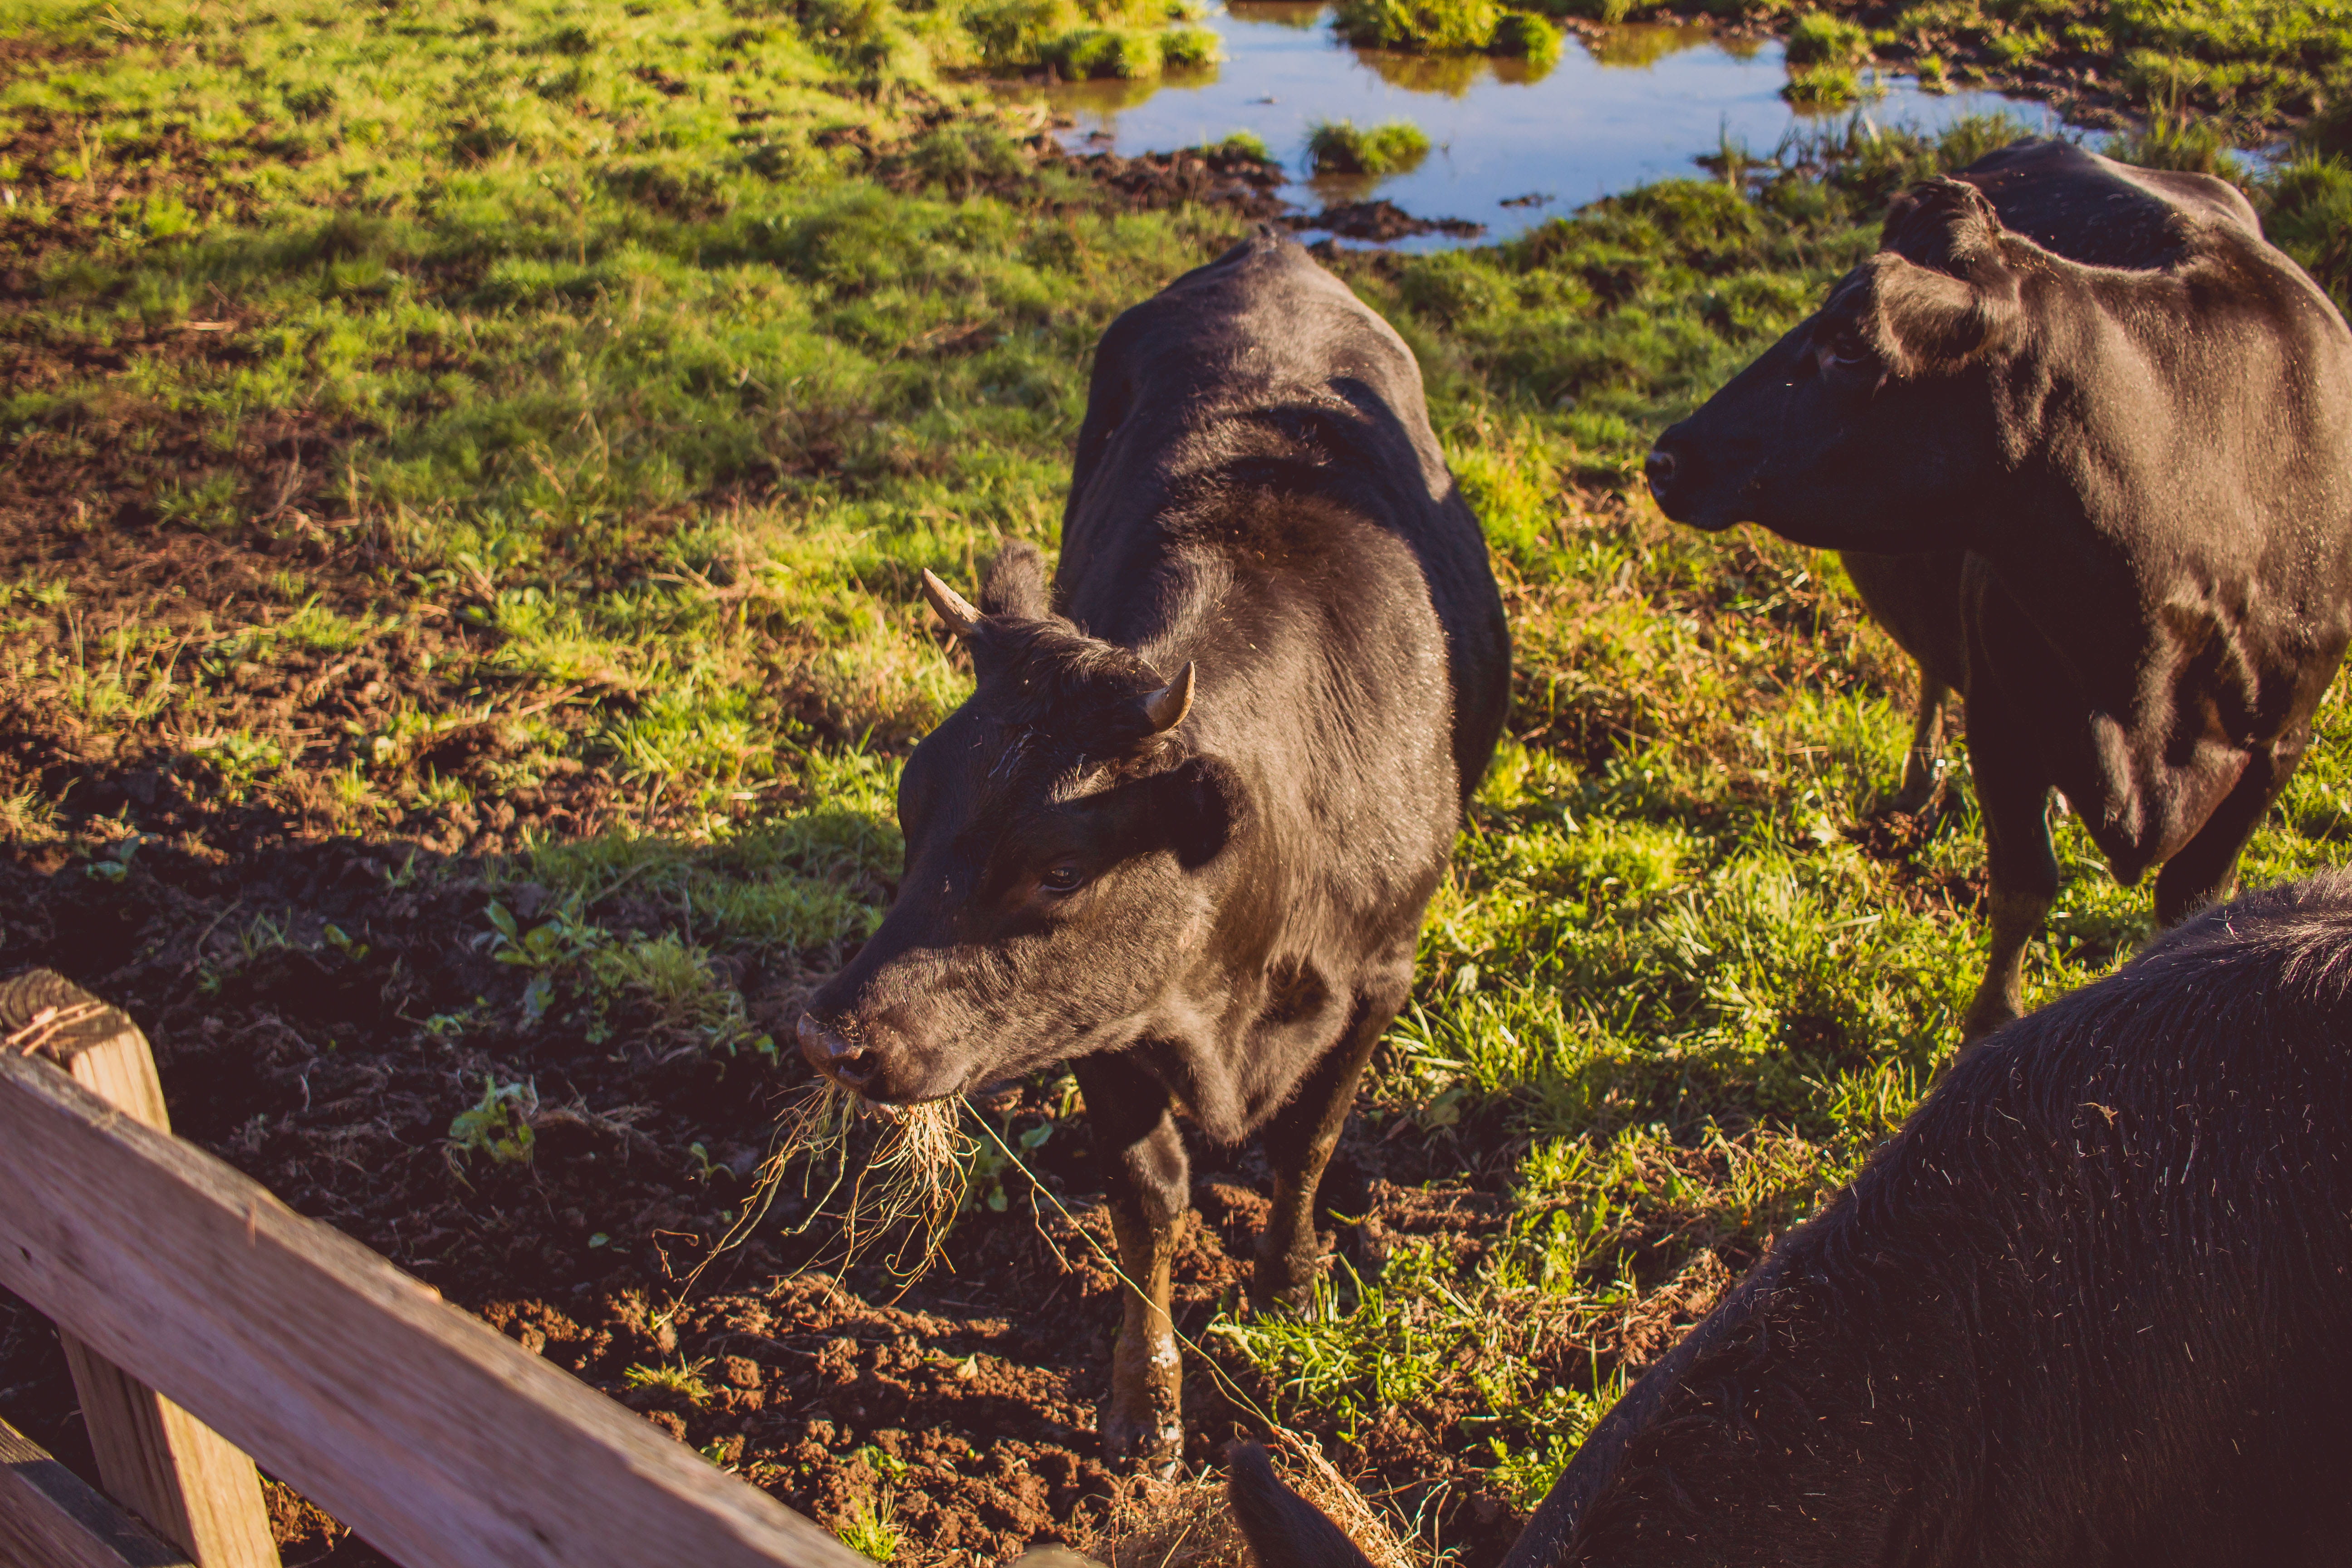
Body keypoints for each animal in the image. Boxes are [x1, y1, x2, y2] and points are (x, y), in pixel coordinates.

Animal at [795, 228, 1511, 1465]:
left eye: (1060, 867)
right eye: (910, 809)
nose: (832, 1035)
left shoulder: (1380, 976)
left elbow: (1308, 1140)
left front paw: (1292, 1279)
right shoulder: (1096, 1009)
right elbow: (1151, 1197)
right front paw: (1147, 1400)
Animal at [1642, 138, 2352, 1041]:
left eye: (1850, 348)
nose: (1667, 457)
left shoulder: (2280, 744)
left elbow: (2191, 898)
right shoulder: (2003, 714)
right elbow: (2023, 887)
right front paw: (1990, 1021)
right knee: (1931, 670)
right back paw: (1918, 782)